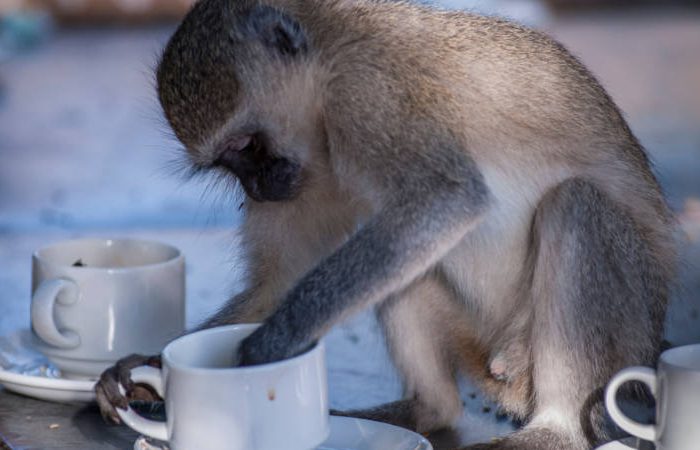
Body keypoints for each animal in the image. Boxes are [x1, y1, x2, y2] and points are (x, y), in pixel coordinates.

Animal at [95, 1, 676, 448]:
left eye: (246, 146)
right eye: (229, 163)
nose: (258, 190)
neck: (328, 51)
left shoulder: (366, 96)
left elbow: (445, 200)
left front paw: (270, 346)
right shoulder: (312, 170)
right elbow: (283, 280)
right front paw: (145, 369)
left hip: (615, 336)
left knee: (575, 206)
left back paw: (555, 431)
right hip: (476, 343)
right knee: (403, 267)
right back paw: (423, 412)